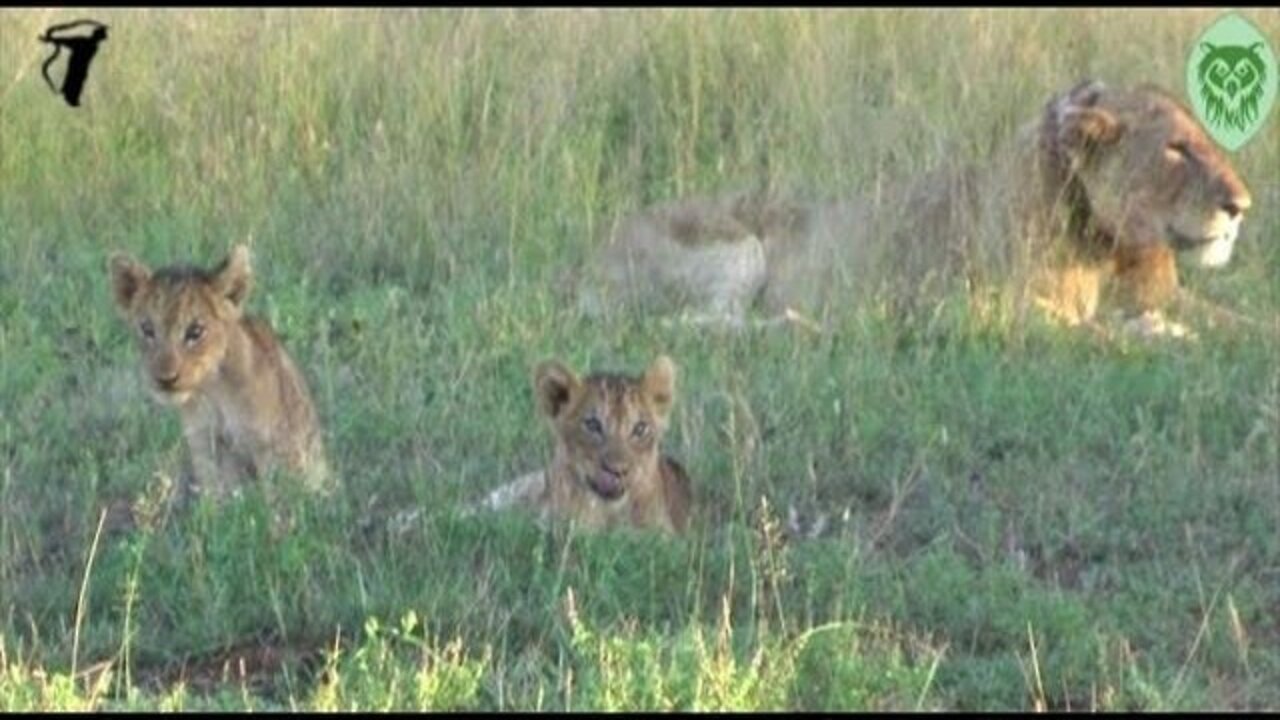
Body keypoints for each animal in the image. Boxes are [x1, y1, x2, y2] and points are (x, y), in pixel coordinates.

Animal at [109, 243, 332, 502]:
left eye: (195, 331)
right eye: (147, 329)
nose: (165, 379)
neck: (213, 391)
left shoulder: (274, 446)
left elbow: (275, 501)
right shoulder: (207, 447)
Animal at [583, 79, 1259, 338]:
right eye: (1176, 149)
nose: (1242, 205)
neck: (1107, 245)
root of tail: (580, 264)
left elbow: (1250, 325)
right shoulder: (973, 304)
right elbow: (1087, 328)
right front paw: (1155, 333)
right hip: (736, 245)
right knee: (687, 324)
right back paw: (801, 324)